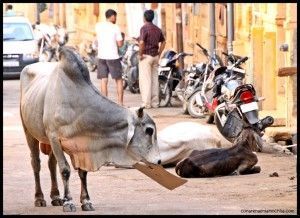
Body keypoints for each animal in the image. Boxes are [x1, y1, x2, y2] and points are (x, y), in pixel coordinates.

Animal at [20, 46, 162, 212]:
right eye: (149, 130)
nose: (159, 160)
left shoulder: (81, 145)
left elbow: (82, 172)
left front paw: (86, 201)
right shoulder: (54, 138)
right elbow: (65, 170)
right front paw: (69, 202)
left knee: (51, 164)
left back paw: (55, 197)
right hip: (30, 132)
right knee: (36, 163)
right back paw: (39, 198)